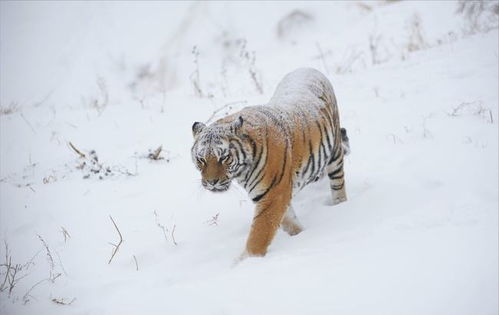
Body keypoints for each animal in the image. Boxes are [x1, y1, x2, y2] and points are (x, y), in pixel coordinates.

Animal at [191, 68, 352, 260]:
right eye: (201, 159)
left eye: (224, 157)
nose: (211, 182)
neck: (242, 172)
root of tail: (308, 69)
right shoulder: (273, 194)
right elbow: (288, 221)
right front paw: (300, 234)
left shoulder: (273, 195)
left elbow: (258, 237)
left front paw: (244, 262)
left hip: (334, 154)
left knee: (338, 185)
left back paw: (340, 205)